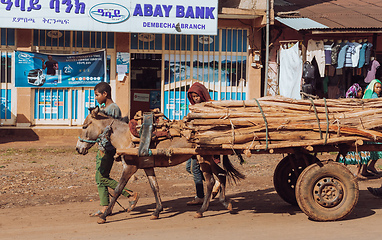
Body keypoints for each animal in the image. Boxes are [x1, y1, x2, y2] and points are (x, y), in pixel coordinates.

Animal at [75, 107, 245, 223]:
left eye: (84, 126)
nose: (78, 149)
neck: (126, 138)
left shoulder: (129, 167)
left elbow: (117, 189)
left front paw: (104, 216)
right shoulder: (148, 166)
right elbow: (154, 187)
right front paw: (157, 211)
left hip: (203, 158)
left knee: (210, 181)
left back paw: (202, 210)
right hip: (207, 158)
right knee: (221, 174)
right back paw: (224, 203)